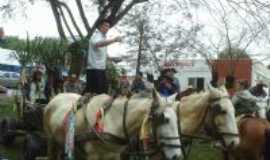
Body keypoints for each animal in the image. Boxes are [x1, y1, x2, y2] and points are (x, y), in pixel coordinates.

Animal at [44, 90, 182, 160]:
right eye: (164, 119)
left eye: (177, 119)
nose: (177, 156)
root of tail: (55, 97)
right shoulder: (93, 156)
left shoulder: (115, 155)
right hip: (51, 141)